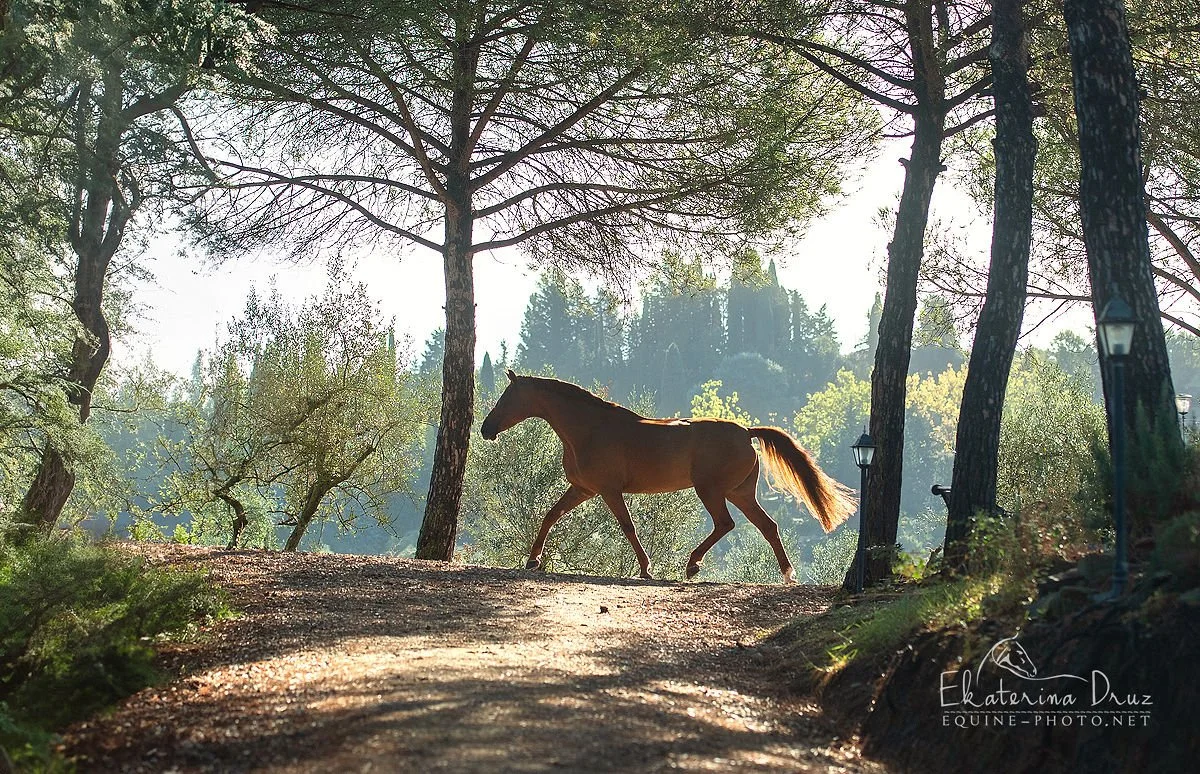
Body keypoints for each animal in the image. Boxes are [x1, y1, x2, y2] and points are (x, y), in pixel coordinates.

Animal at [479, 370, 856, 582]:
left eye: (507, 397)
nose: (485, 428)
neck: (589, 429)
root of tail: (746, 432)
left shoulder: (608, 491)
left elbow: (628, 527)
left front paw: (646, 569)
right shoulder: (583, 489)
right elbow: (551, 515)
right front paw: (533, 560)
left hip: (711, 490)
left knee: (726, 524)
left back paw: (692, 565)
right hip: (739, 492)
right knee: (767, 526)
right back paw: (787, 574)